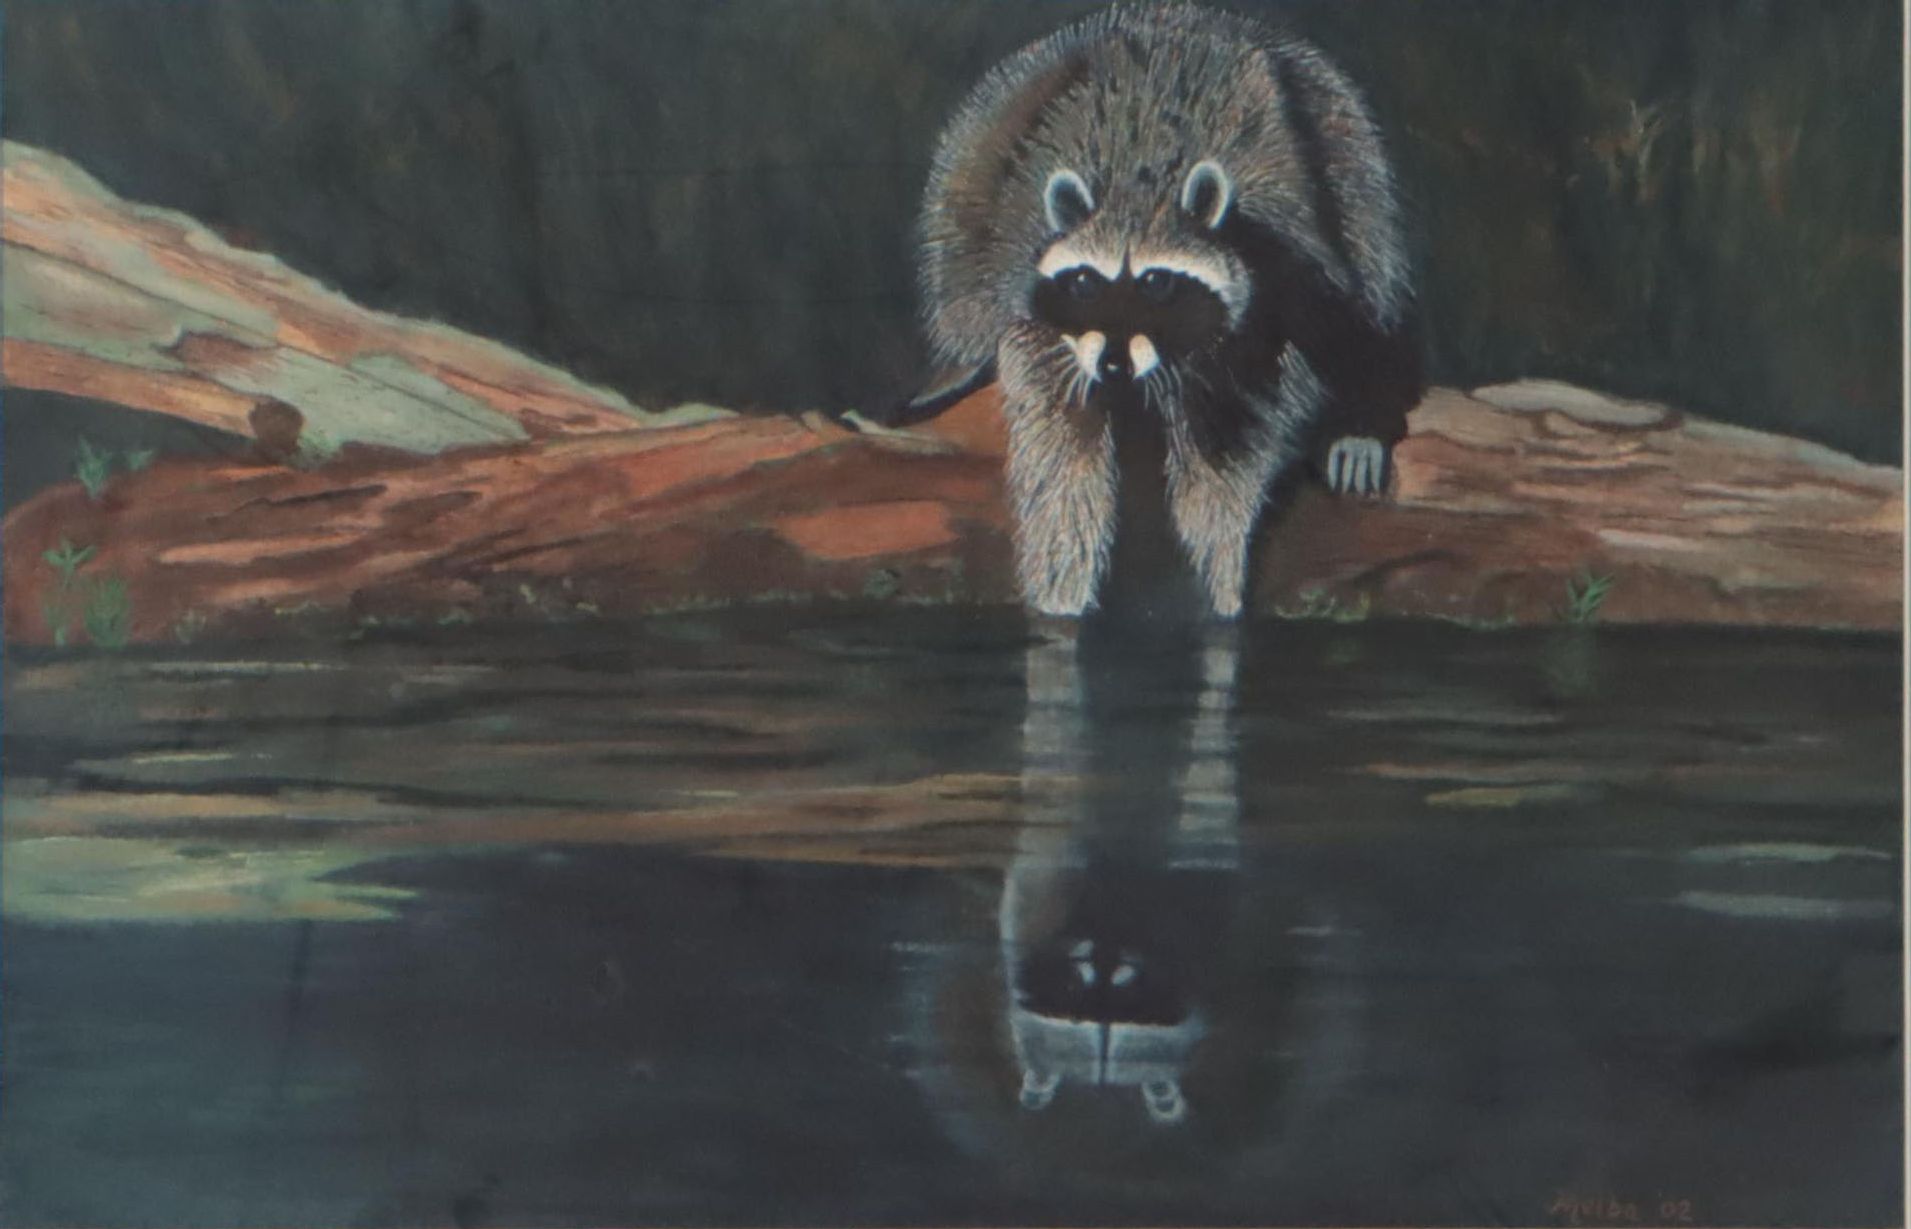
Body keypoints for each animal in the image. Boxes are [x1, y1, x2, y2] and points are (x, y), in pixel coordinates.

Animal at [908, 4, 1424, 618]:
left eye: (1156, 283)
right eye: (1085, 283)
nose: (1113, 365)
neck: (1137, 189)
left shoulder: (1281, 270)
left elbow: (1232, 442)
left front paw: (1217, 588)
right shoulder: (1032, 294)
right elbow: (1057, 450)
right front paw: (1060, 599)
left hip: (1341, 140)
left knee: (1368, 269)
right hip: (987, 145)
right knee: (962, 253)